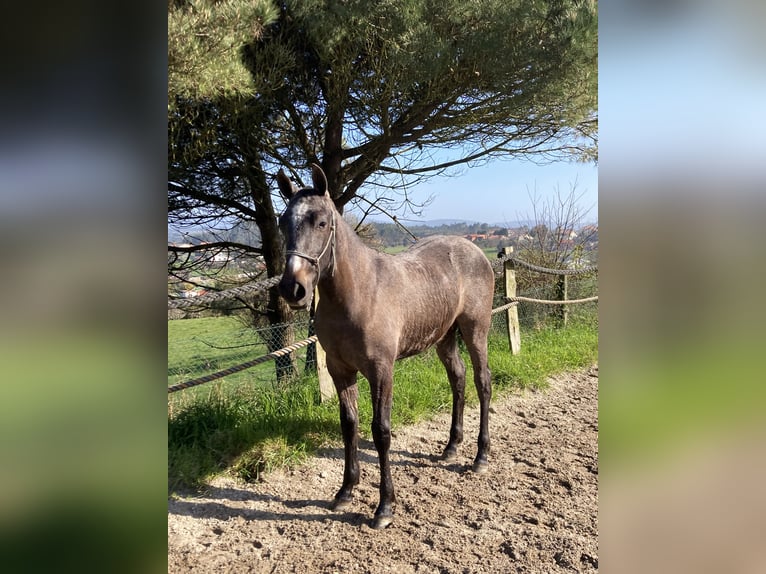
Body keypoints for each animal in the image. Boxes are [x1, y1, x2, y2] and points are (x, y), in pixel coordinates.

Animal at [277, 164, 495, 530]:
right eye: (282, 222)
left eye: (321, 221)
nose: (294, 289)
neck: (358, 293)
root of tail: (475, 251)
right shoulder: (339, 369)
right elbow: (349, 424)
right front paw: (345, 491)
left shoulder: (381, 370)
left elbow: (381, 432)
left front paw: (384, 507)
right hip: (445, 337)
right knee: (458, 379)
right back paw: (451, 446)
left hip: (475, 329)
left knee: (482, 381)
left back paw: (480, 456)